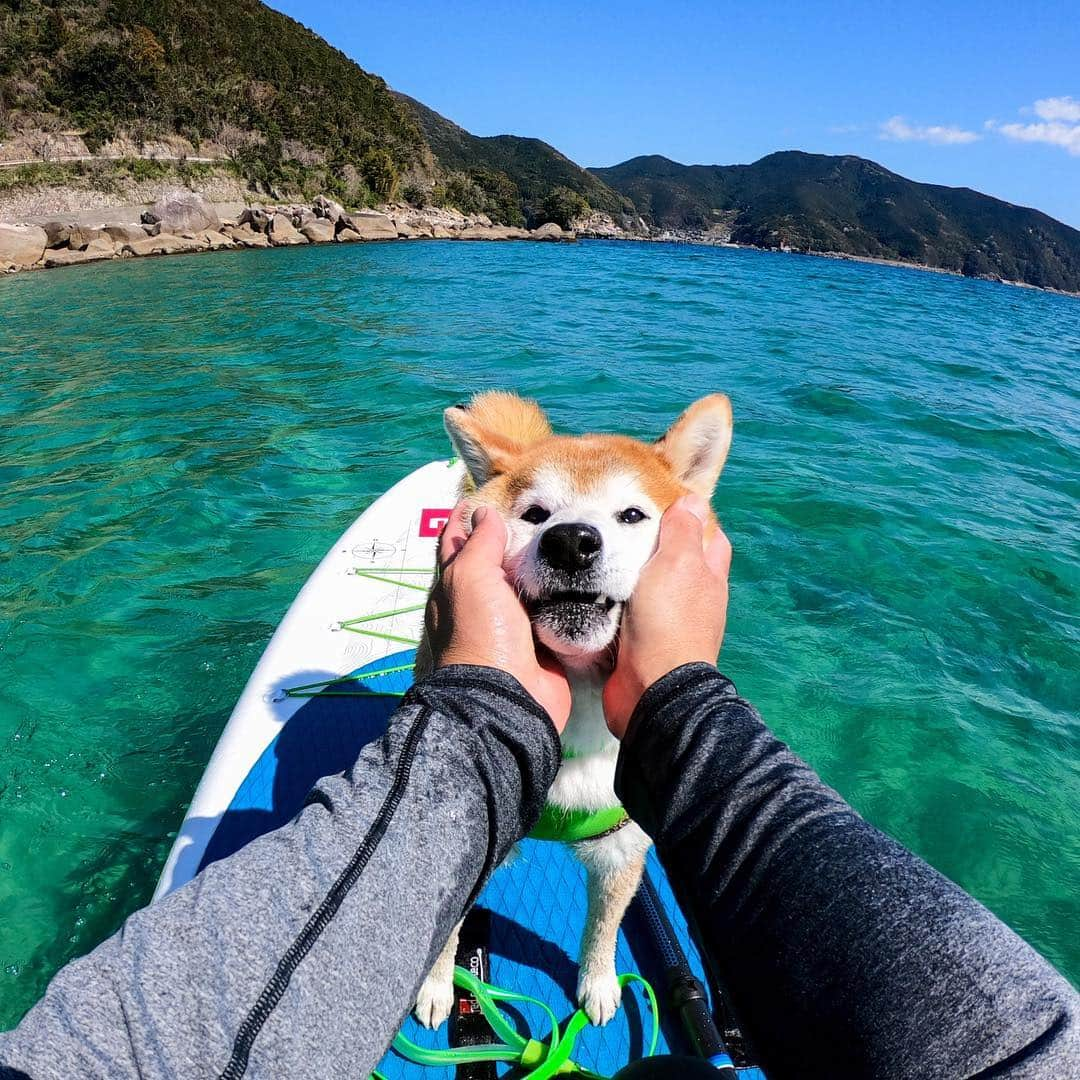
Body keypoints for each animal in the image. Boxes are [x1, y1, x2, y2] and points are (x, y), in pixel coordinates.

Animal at [412, 390, 734, 1028]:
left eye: (631, 515)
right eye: (536, 514)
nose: (571, 541)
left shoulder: (622, 847)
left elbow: (604, 927)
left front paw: (600, 983)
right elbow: (442, 927)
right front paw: (436, 984)